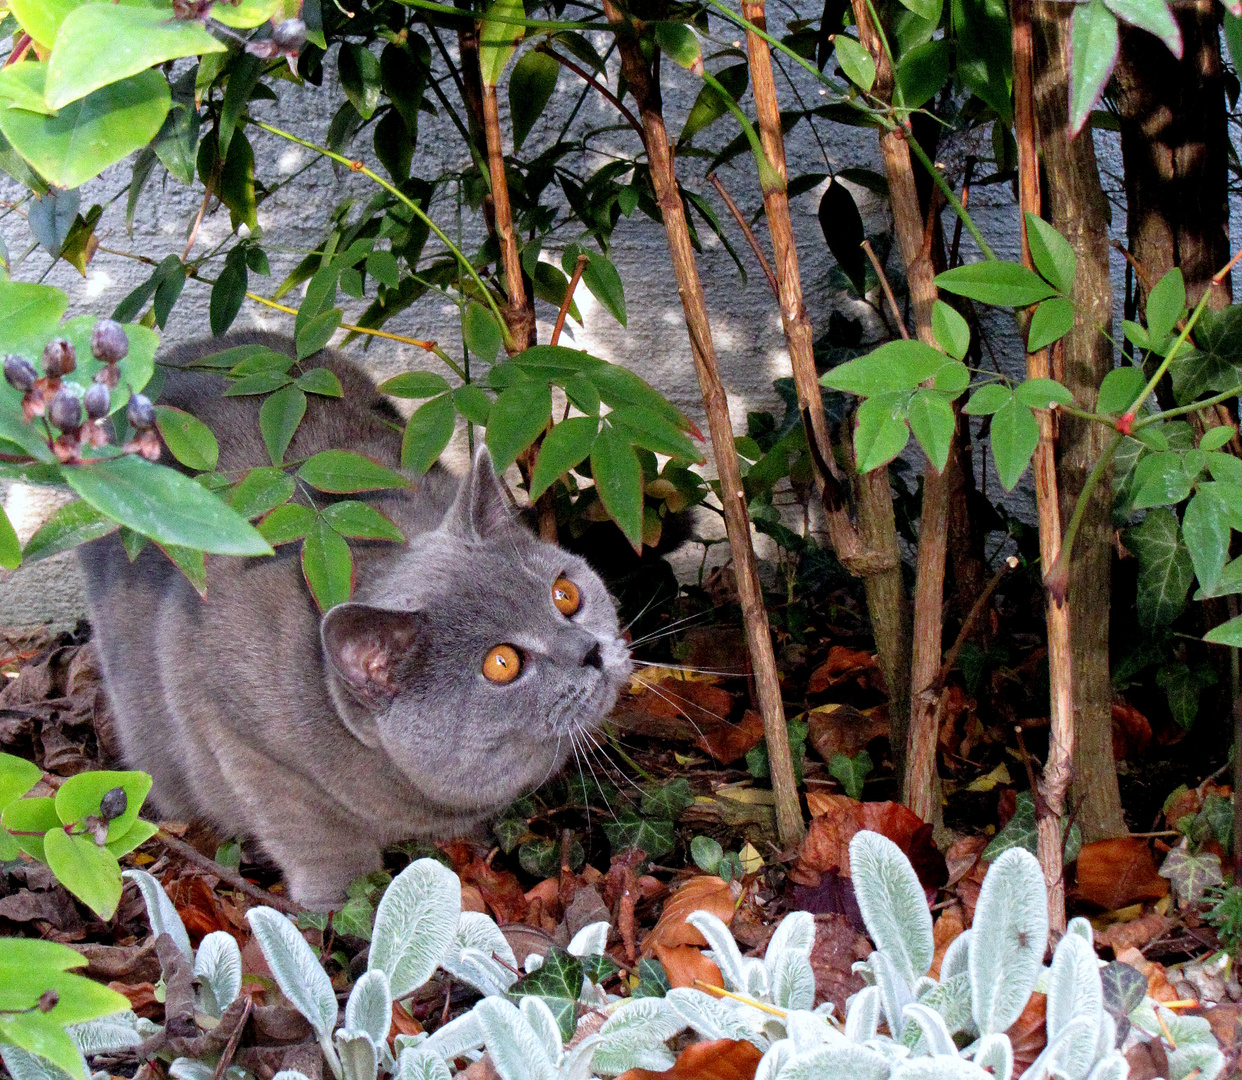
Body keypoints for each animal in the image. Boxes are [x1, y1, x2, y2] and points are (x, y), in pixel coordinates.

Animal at [80, 335, 630, 908]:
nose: (589, 650)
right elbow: (314, 835)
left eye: (565, 595)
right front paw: (341, 910)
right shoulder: (241, 736)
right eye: (502, 663)